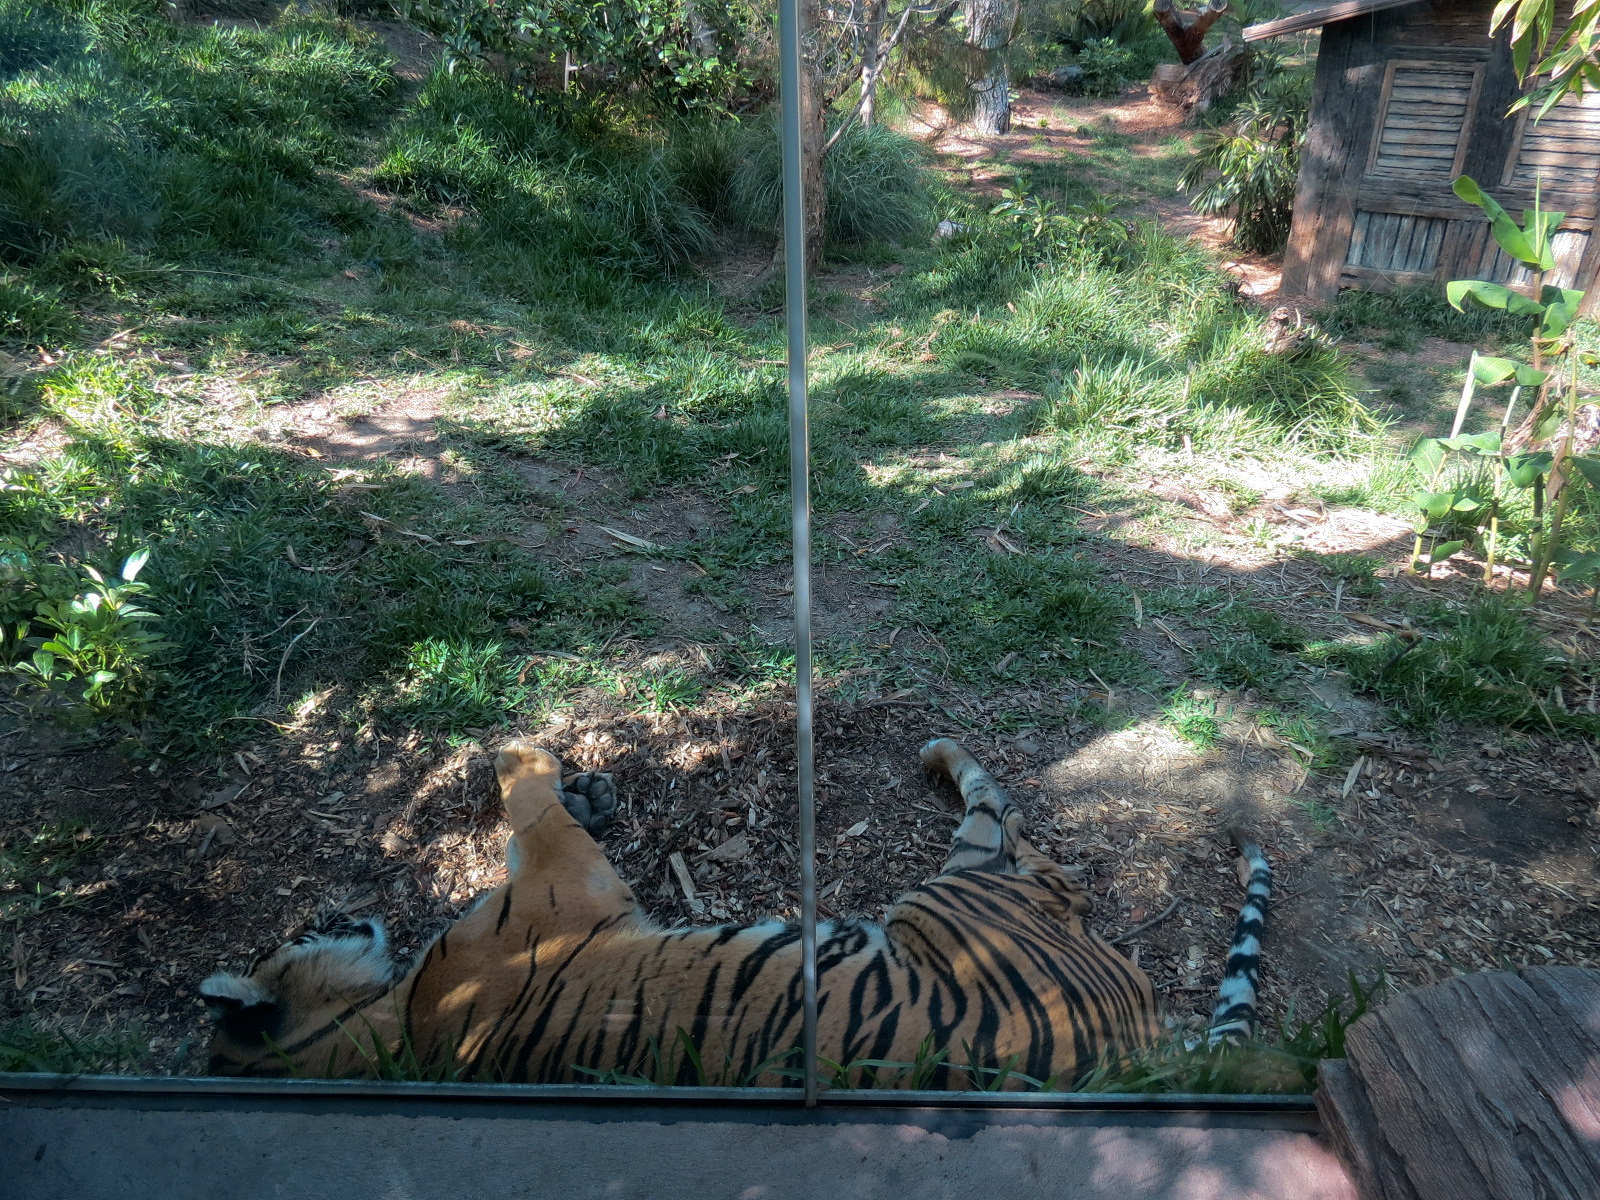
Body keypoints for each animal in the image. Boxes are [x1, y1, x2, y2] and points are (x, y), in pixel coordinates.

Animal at [199, 736, 1272, 1087]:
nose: (334, 907)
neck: (398, 1025)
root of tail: (1142, 1050)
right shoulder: (563, 877)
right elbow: (527, 791)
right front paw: (539, 763)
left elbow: (540, 795)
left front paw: (585, 782)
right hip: (953, 895)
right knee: (1021, 829)